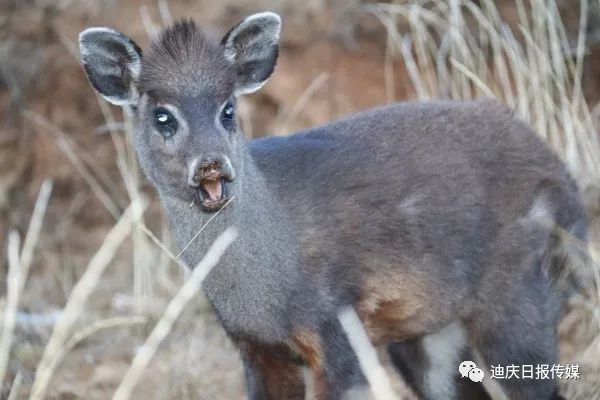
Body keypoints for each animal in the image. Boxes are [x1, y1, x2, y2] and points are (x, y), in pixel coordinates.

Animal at [78, 11, 584, 400]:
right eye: (163, 116)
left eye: (228, 110)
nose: (211, 166)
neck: (268, 294)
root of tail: (564, 177)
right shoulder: (255, 349)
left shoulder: (338, 328)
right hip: (429, 331)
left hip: (520, 292)